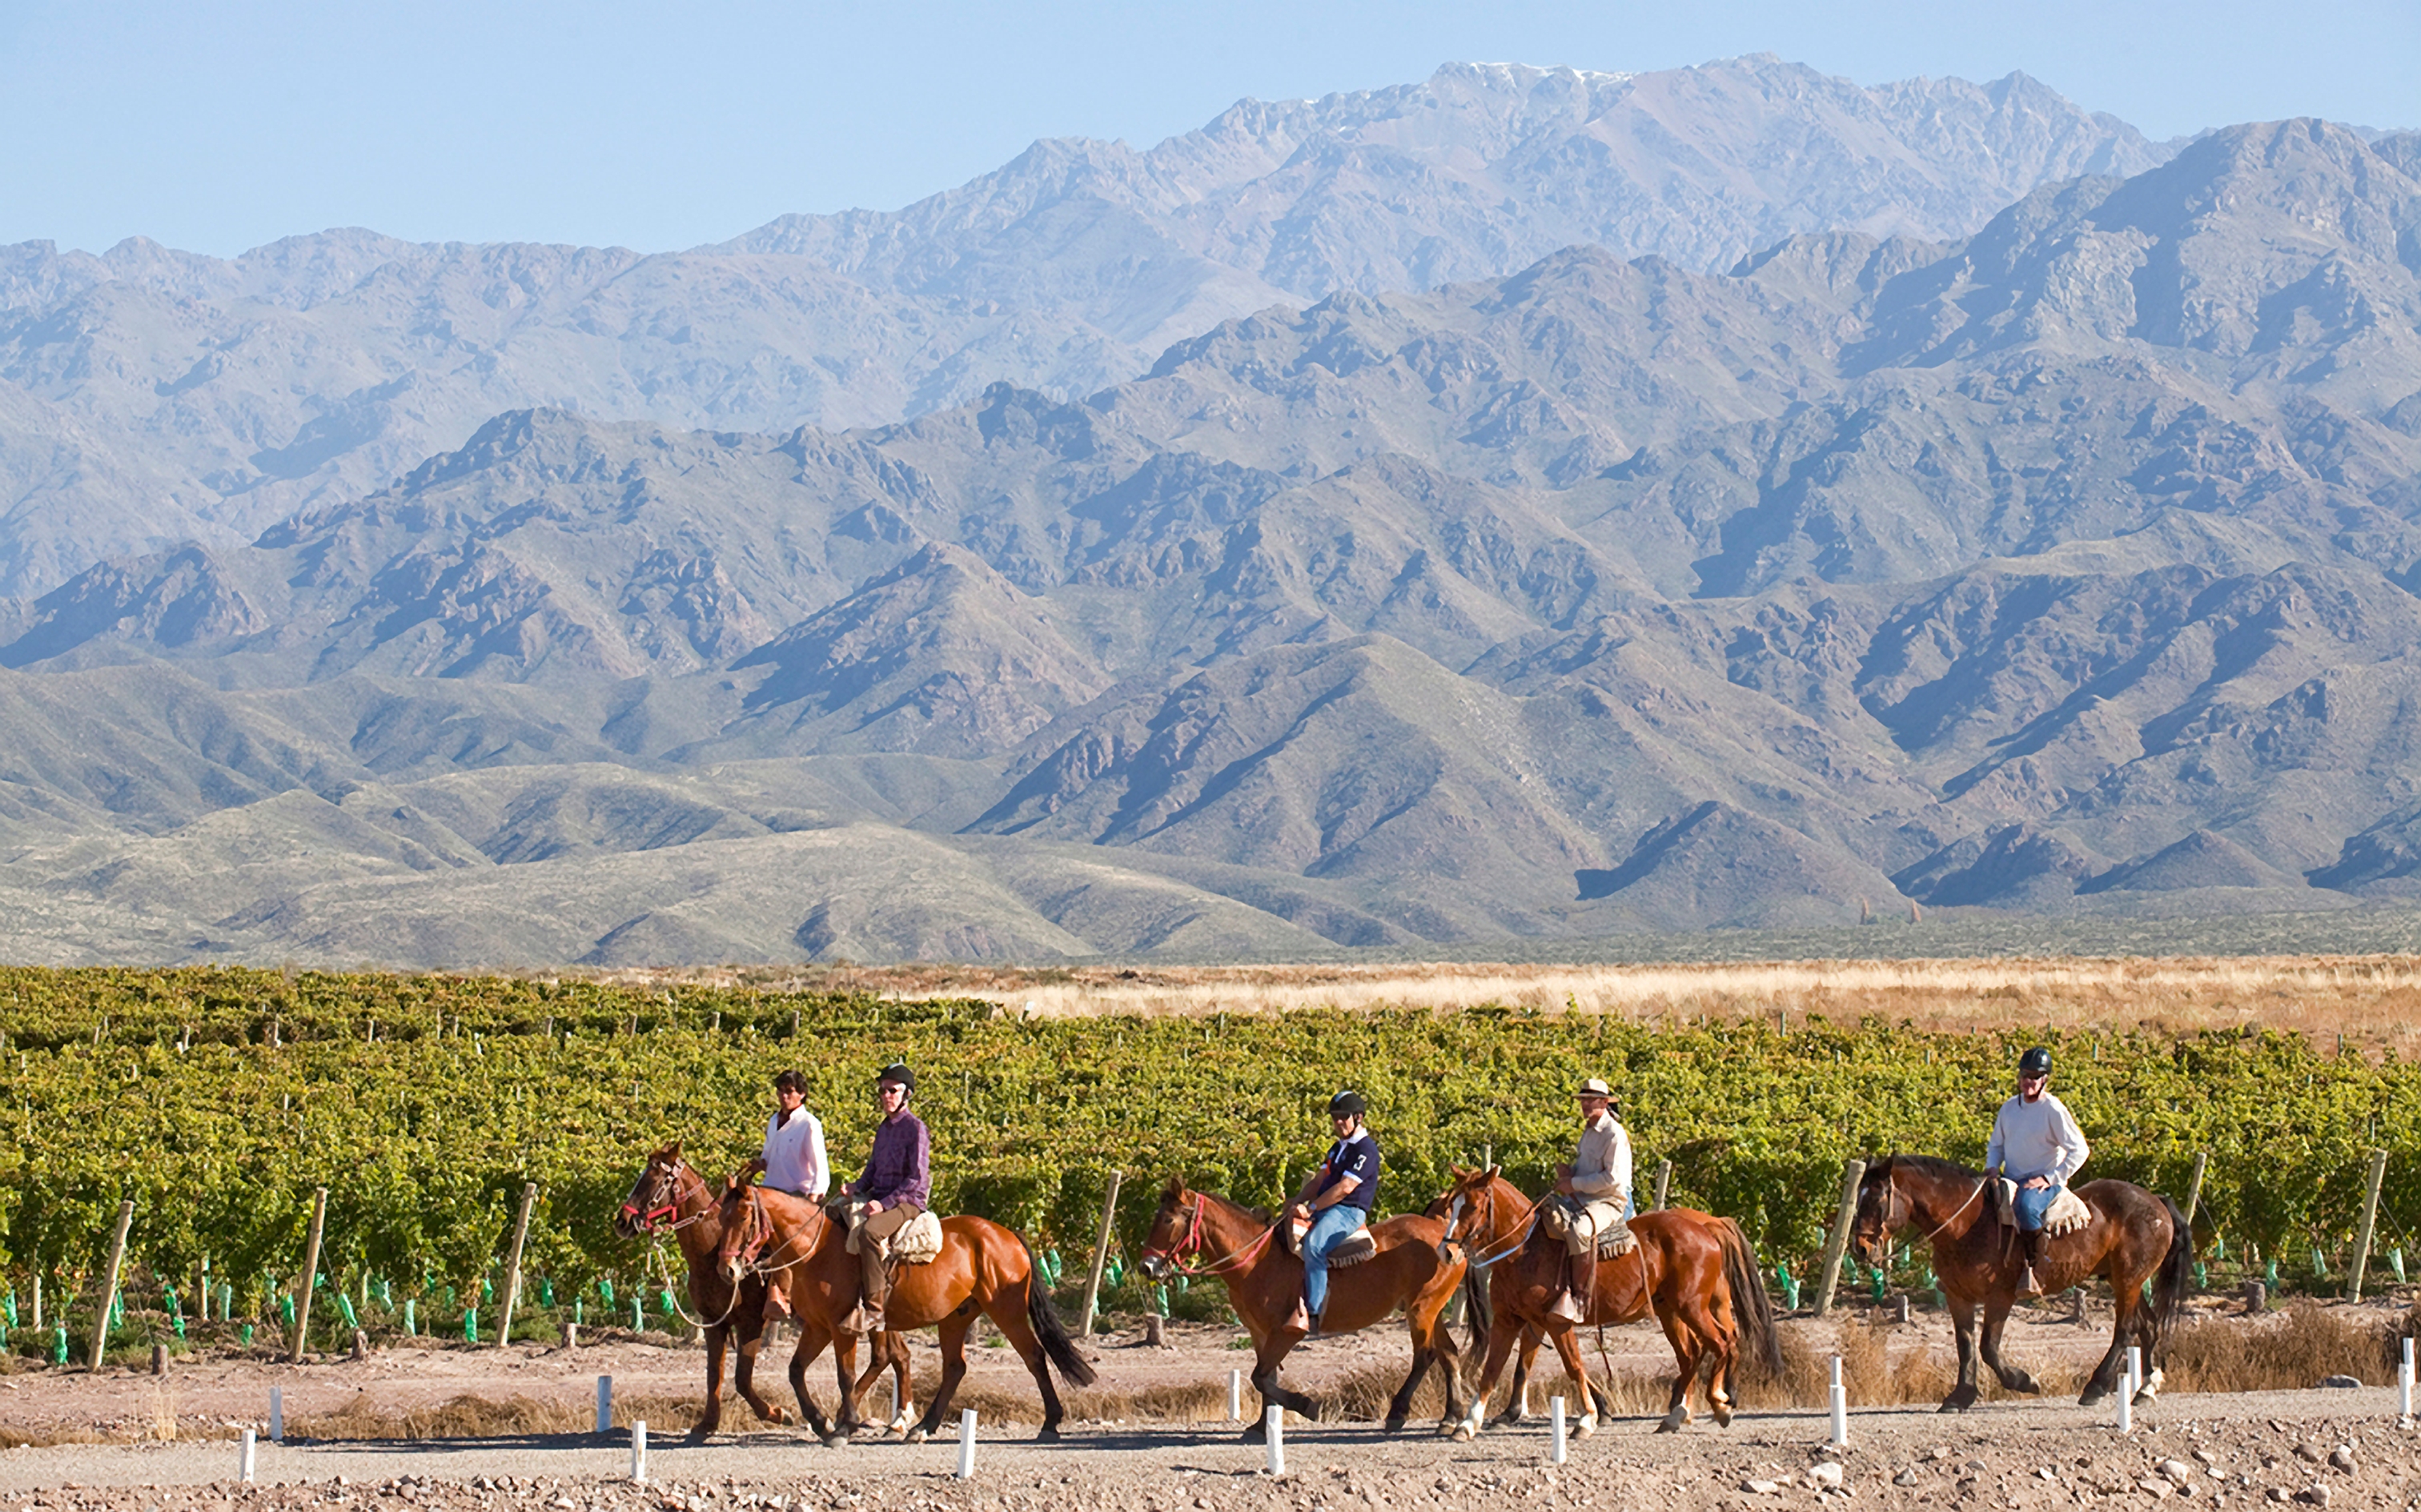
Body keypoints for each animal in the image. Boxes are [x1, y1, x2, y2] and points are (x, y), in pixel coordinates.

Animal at [717, 1180, 1098, 1442]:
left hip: (1007, 1309)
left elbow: (845, 1375)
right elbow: (796, 1371)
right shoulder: (818, 1327)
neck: (817, 1248)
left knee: (1034, 1356)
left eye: (745, 1215)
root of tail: (1006, 1234)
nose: (727, 1269)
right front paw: (821, 1422)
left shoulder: (842, 1328)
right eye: (721, 1217)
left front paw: (845, 1425)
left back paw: (1050, 1422)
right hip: (956, 1317)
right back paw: (923, 1426)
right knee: (955, 1368)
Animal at [1138, 1180, 1462, 1442]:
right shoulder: (1260, 1333)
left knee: (1425, 1355)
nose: (1146, 1267)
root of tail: (1443, 1235)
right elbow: (1267, 1377)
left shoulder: (1287, 1332)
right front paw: (1262, 1426)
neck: (1259, 1260)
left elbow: (1260, 1377)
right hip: (1431, 1310)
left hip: (1422, 1309)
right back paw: (1451, 1418)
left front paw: (1307, 1406)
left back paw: (1398, 1413)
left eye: (1168, 1219)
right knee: (1449, 1353)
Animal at [1433, 1165, 1781, 1442]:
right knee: (1692, 1354)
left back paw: (1721, 1405)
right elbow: (1491, 1371)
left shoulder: (1557, 1323)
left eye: (1473, 1206)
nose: (1446, 1251)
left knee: (1723, 1342)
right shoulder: (1508, 1321)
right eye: (1452, 1205)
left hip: (1693, 1307)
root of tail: (1706, 1227)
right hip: (1670, 1311)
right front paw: (1467, 1424)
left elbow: (1574, 1366)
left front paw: (1587, 1420)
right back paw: (1675, 1415)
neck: (1524, 1251)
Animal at [1849, 1151, 2198, 1413]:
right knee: (2147, 1325)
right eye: (1858, 1198)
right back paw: (2146, 1389)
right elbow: (1965, 1345)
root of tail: (2156, 1201)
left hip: (2129, 1279)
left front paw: (2024, 1382)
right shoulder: (1958, 1297)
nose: (1860, 1248)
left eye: (1878, 1199)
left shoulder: (2000, 1297)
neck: (1967, 1226)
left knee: (2125, 1329)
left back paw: (2096, 1388)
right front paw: (1960, 1396)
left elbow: (1988, 1347)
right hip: (2125, 1280)